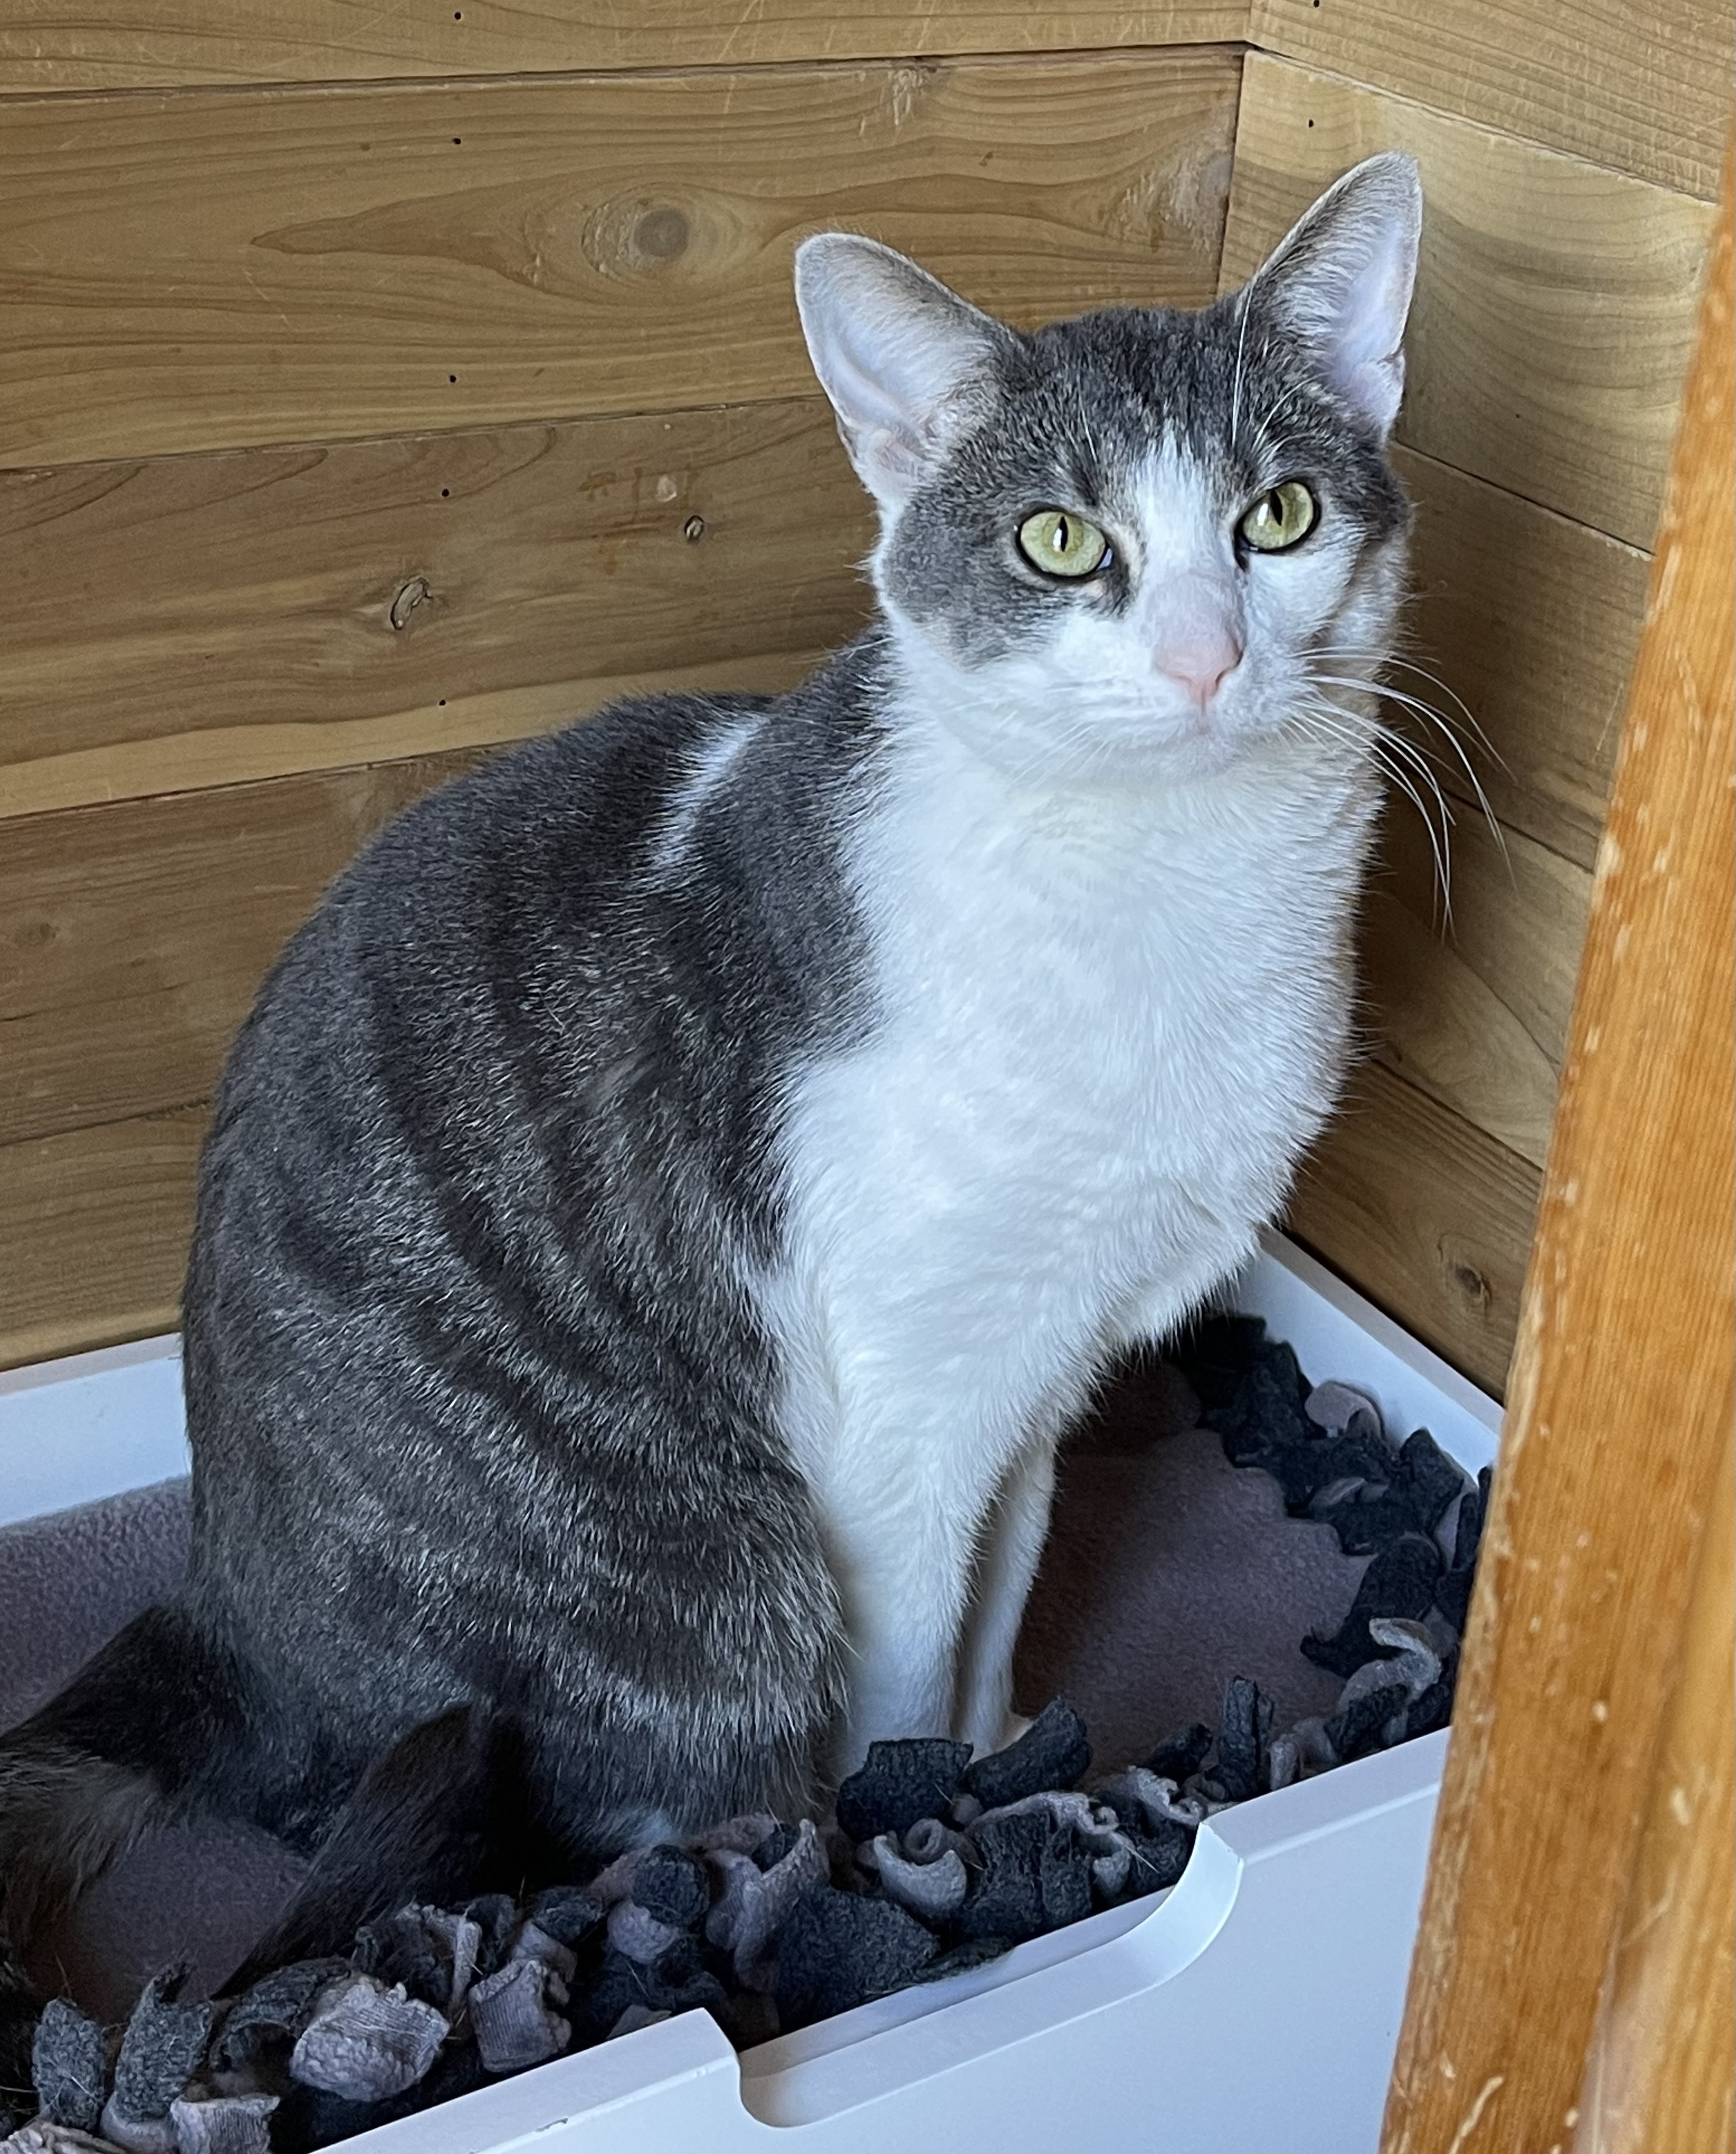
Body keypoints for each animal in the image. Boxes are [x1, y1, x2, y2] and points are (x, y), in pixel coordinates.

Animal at [0, 147, 1430, 1999]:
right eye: (1060, 542)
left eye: (1280, 517)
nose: (1202, 657)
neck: (1172, 892)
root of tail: (215, 1607)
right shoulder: (903, 1407)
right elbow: (906, 1665)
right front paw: (923, 1830)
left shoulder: (1035, 1374)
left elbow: (999, 1601)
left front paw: (998, 1752)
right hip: (717, 1581)